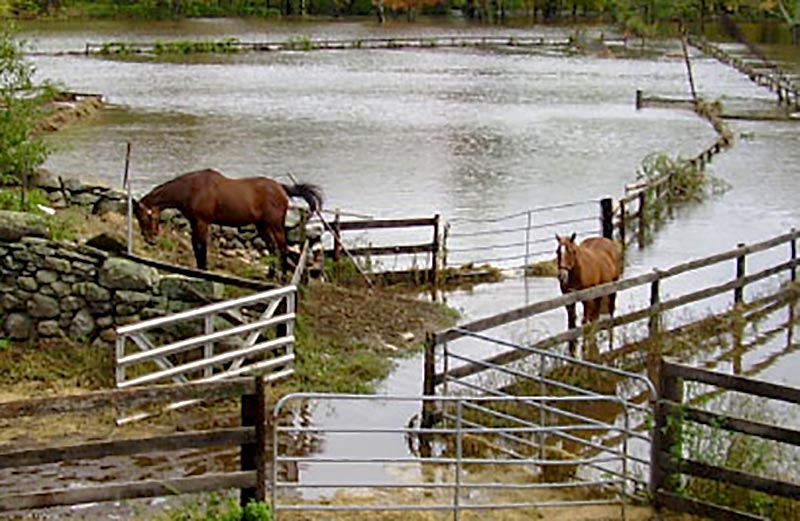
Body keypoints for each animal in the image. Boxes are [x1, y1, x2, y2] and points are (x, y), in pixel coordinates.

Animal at [133, 169, 324, 272]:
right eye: (139, 217)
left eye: (148, 216)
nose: (150, 240)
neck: (192, 189)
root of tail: (281, 188)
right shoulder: (195, 222)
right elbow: (196, 246)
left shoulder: (202, 222)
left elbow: (201, 247)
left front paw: (204, 270)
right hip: (262, 226)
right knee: (272, 249)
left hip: (275, 225)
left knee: (282, 249)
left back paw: (282, 277)